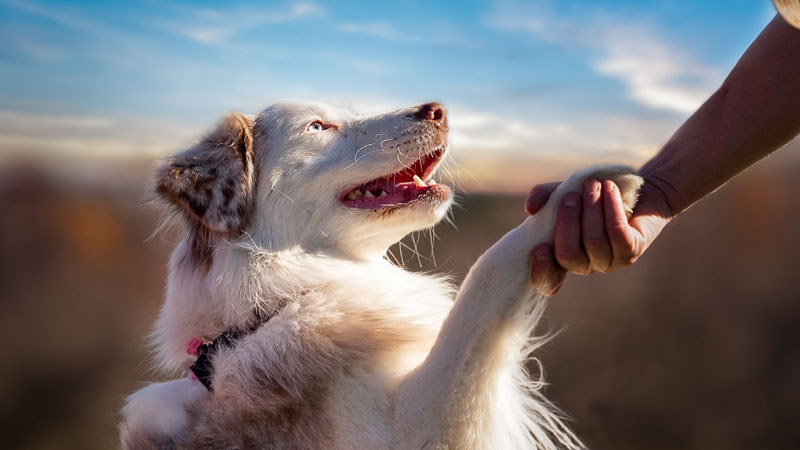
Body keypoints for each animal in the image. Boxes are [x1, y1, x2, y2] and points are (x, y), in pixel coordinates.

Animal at [120, 100, 644, 448]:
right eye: (319, 125)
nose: (437, 109)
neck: (272, 307)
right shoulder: (422, 426)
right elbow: (486, 276)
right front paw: (584, 191)